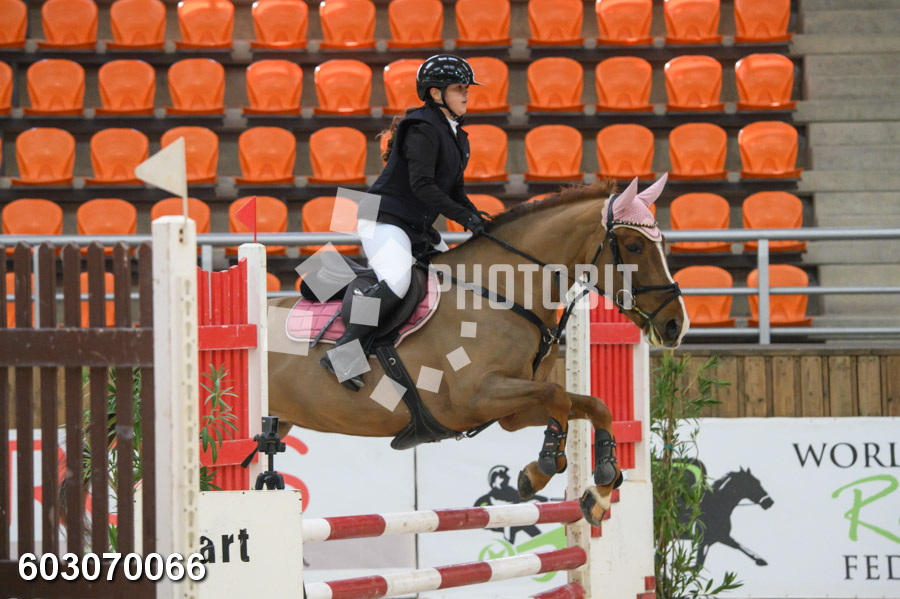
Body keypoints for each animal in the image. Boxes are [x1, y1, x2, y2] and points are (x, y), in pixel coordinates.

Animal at [268, 176, 689, 526]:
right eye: (634, 246)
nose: (676, 325)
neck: (504, 294)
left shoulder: (511, 412)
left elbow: (589, 404)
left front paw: (599, 490)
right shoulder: (474, 398)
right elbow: (558, 397)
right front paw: (541, 467)